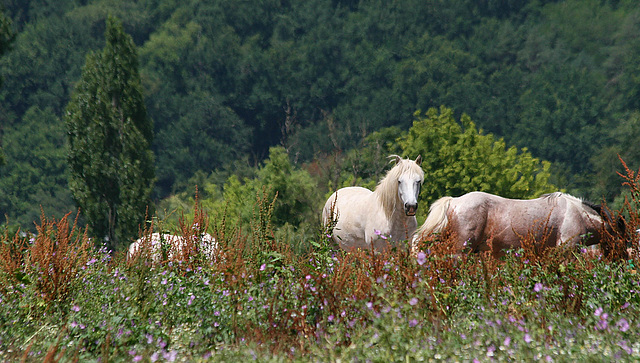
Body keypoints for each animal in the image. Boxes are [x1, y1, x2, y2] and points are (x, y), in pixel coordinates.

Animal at [412, 192, 624, 258]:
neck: (577, 214)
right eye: (623, 239)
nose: (622, 263)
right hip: (459, 251)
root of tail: (454, 201)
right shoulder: (565, 251)